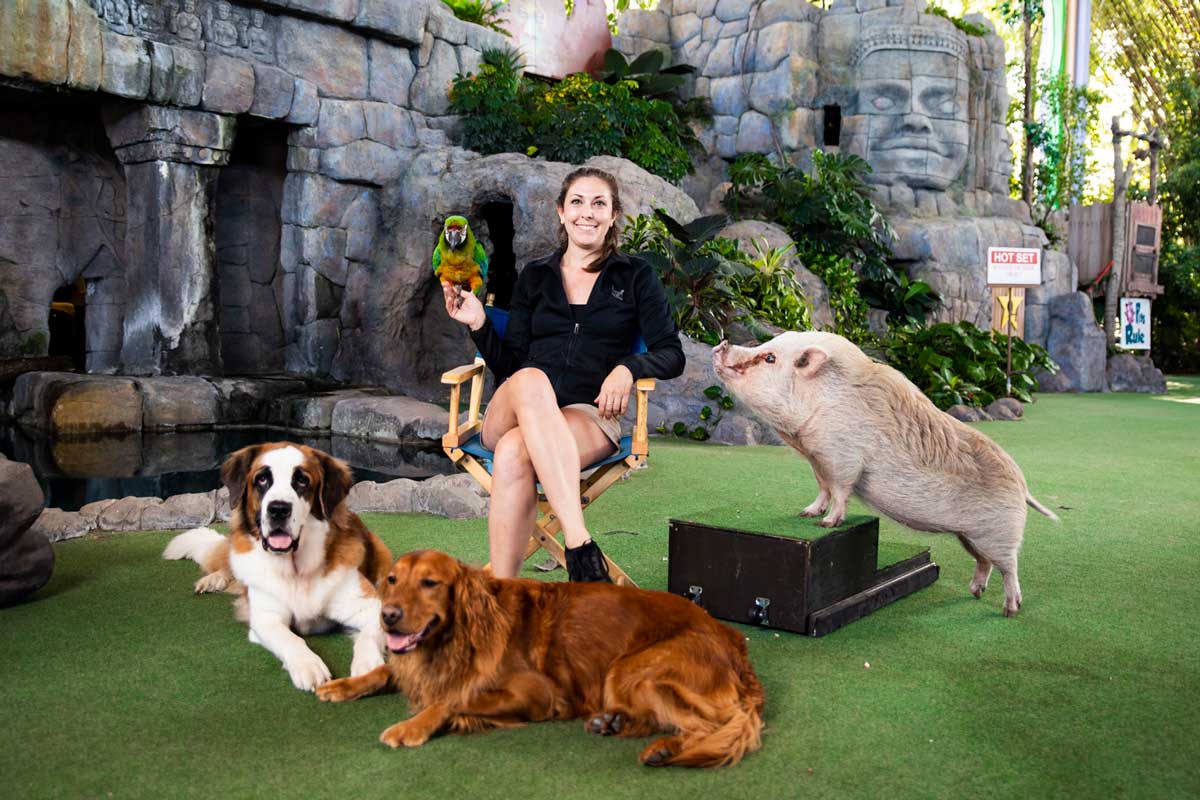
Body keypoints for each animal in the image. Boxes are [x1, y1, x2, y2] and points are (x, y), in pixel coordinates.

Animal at [162, 441, 388, 690]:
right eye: (262, 480)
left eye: (302, 480)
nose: (278, 509)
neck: (296, 570)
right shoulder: (265, 618)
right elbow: (290, 638)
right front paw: (308, 665)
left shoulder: (371, 605)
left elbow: (369, 635)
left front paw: (368, 666)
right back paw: (213, 579)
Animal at [710, 331, 1060, 618]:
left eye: (770, 357)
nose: (721, 344)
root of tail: (1022, 486)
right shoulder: (817, 459)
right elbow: (822, 487)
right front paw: (806, 514)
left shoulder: (843, 456)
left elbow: (840, 490)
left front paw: (827, 524)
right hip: (970, 536)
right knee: (984, 562)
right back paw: (975, 593)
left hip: (1000, 533)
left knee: (1010, 567)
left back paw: (1009, 610)